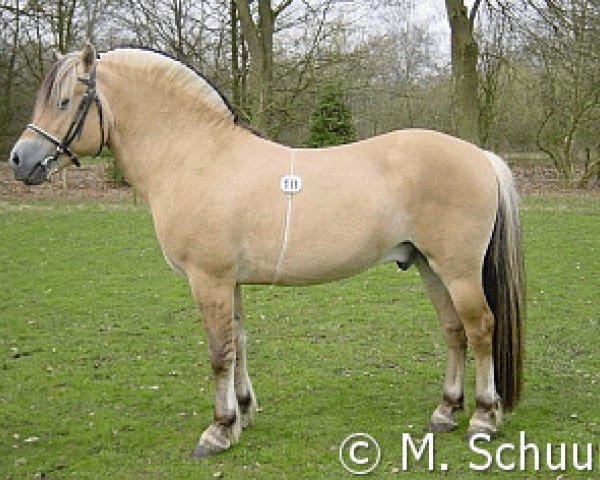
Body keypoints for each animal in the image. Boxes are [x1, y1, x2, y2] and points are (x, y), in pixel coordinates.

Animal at [8, 45, 524, 458]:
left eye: (65, 101)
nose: (19, 160)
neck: (196, 158)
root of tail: (480, 156)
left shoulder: (209, 279)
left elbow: (218, 352)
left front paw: (218, 431)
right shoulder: (229, 281)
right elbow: (238, 343)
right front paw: (242, 413)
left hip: (458, 270)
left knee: (481, 329)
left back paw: (483, 417)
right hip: (428, 266)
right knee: (454, 331)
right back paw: (445, 411)